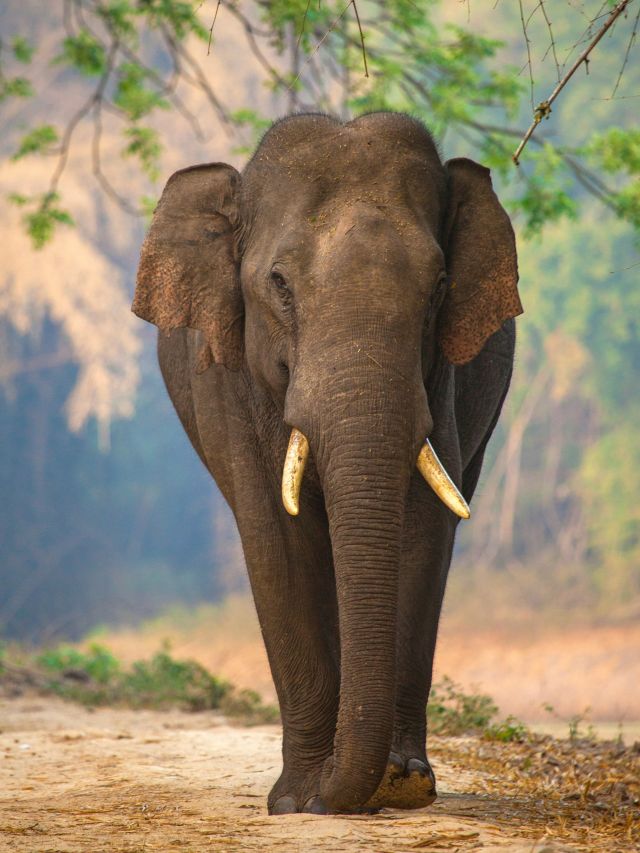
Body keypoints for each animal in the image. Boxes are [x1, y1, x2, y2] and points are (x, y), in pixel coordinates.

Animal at [132, 111, 522, 815]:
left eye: (440, 287)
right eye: (279, 285)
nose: (329, 795)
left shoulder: (443, 384)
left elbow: (422, 532)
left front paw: (400, 785)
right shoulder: (230, 380)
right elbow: (275, 541)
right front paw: (298, 800)